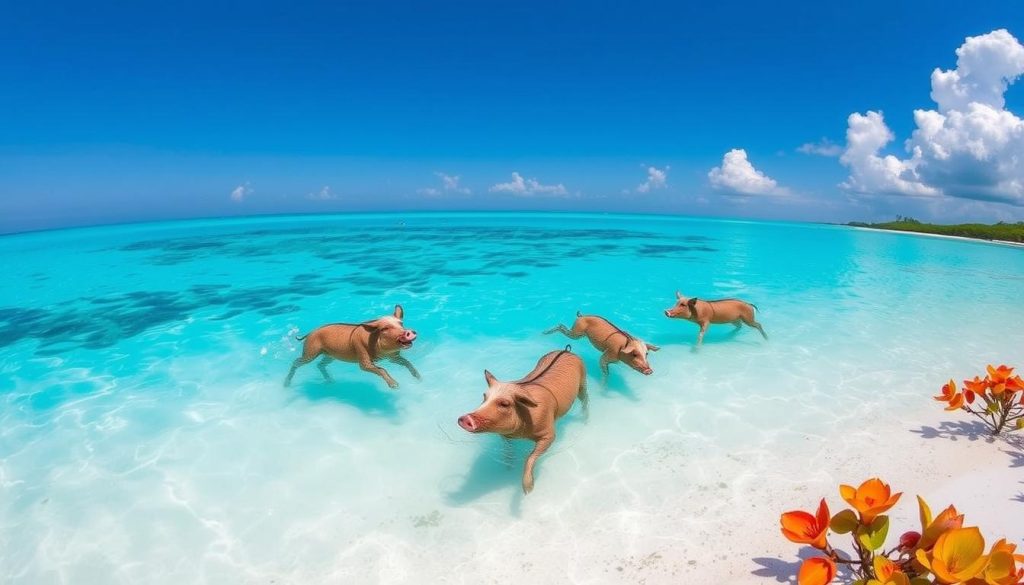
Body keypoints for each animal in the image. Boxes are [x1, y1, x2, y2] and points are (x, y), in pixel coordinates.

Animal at [283, 305, 419, 388]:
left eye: (401, 324)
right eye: (385, 328)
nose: (409, 331)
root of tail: (310, 332)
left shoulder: (393, 357)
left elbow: (406, 362)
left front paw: (419, 378)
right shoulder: (364, 361)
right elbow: (382, 370)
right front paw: (395, 385)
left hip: (330, 355)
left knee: (320, 364)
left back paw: (330, 381)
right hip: (310, 352)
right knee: (296, 362)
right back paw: (286, 384)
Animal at [457, 348, 588, 494]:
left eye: (504, 404)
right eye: (484, 397)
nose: (464, 418)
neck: (521, 432)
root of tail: (566, 350)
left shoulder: (549, 434)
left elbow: (530, 456)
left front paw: (528, 490)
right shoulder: (505, 435)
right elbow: (508, 449)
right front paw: (508, 468)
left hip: (583, 381)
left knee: (585, 399)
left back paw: (586, 421)